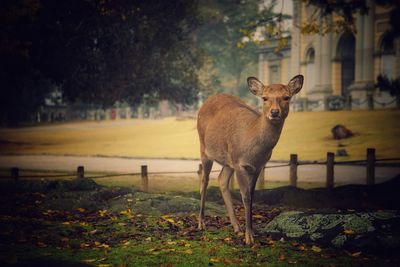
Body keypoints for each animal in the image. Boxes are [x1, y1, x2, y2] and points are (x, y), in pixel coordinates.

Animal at [197, 74, 304, 246]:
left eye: (286, 97)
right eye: (265, 98)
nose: (275, 112)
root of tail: (207, 100)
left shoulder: (258, 166)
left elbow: (252, 196)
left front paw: (251, 232)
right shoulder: (240, 164)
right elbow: (246, 197)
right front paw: (249, 238)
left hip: (229, 160)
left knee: (221, 179)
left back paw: (236, 226)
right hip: (204, 149)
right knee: (204, 182)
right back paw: (201, 223)